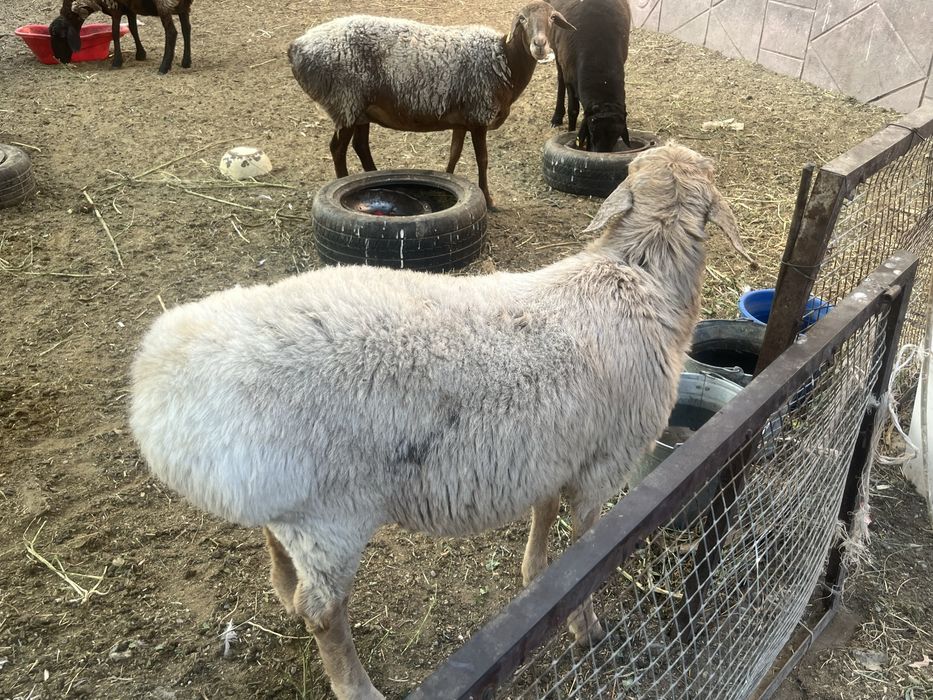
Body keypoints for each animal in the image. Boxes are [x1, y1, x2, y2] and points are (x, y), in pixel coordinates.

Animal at [49, 0, 193, 74]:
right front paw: (141, 54)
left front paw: (117, 62)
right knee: (187, 29)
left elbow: (115, 32)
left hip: (164, 4)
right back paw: (186, 62)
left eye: (59, 36)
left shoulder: (115, 8)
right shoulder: (130, 8)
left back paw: (164, 67)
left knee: (172, 32)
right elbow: (133, 28)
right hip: (183, 6)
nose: (59, 59)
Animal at [129, 142, 752, 700]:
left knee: (276, 551)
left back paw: (283, 594)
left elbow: (544, 521)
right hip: (331, 517)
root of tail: (158, 383)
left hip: (285, 499)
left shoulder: (554, 452)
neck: (639, 278)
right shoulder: (603, 464)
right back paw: (355, 687)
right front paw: (585, 626)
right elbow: (586, 550)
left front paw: (535, 578)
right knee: (322, 610)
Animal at [287, 2, 576, 209]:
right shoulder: (478, 114)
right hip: (345, 101)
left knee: (360, 146)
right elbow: (482, 160)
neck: (504, 59)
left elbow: (454, 154)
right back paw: (345, 181)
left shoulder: (462, 119)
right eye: (522, 19)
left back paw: (379, 181)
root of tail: (297, 46)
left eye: (552, 18)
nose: (539, 45)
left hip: (360, 109)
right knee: (337, 149)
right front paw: (489, 201)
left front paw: (446, 183)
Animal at [548, 0, 632, 151]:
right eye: (592, 132)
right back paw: (557, 117)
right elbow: (573, 110)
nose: (600, 153)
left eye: (616, 136)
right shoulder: (569, 77)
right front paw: (570, 132)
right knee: (560, 78)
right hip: (557, 52)